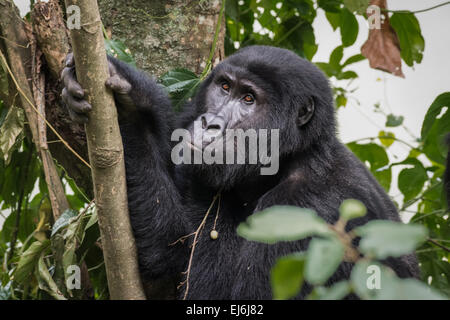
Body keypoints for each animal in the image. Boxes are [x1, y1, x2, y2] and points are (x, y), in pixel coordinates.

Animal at [60, 43, 418, 298]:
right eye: (224, 87)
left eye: (248, 99)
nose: (211, 123)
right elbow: (171, 251)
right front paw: (131, 102)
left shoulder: (305, 209)